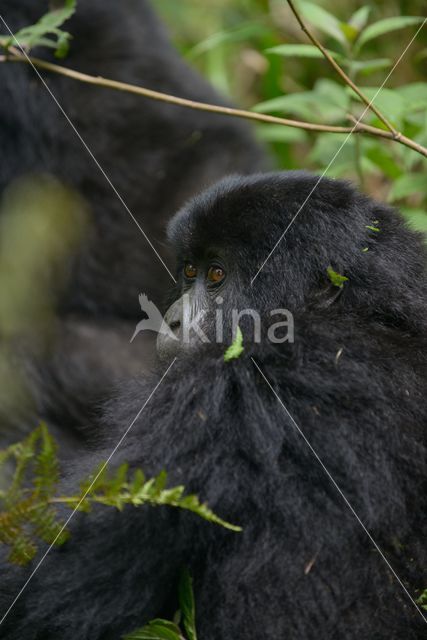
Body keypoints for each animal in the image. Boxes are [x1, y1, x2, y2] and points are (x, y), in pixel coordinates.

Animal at [1, 172, 426, 636]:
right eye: (190, 271)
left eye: (217, 274)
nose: (171, 320)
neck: (359, 314)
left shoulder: (218, 390)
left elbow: (41, 597)